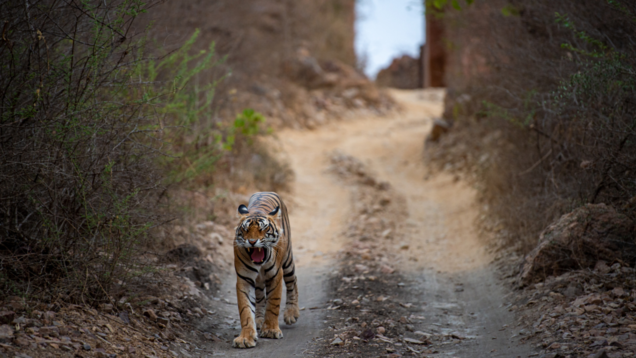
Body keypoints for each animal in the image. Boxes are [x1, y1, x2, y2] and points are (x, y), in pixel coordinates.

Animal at [230, 192, 300, 348]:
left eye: (263, 229)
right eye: (245, 229)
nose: (252, 242)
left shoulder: (276, 276)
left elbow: (273, 304)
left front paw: (271, 330)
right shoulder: (244, 279)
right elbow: (245, 309)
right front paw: (245, 337)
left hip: (287, 261)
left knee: (292, 281)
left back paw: (291, 313)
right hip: (259, 280)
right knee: (260, 296)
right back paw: (259, 320)